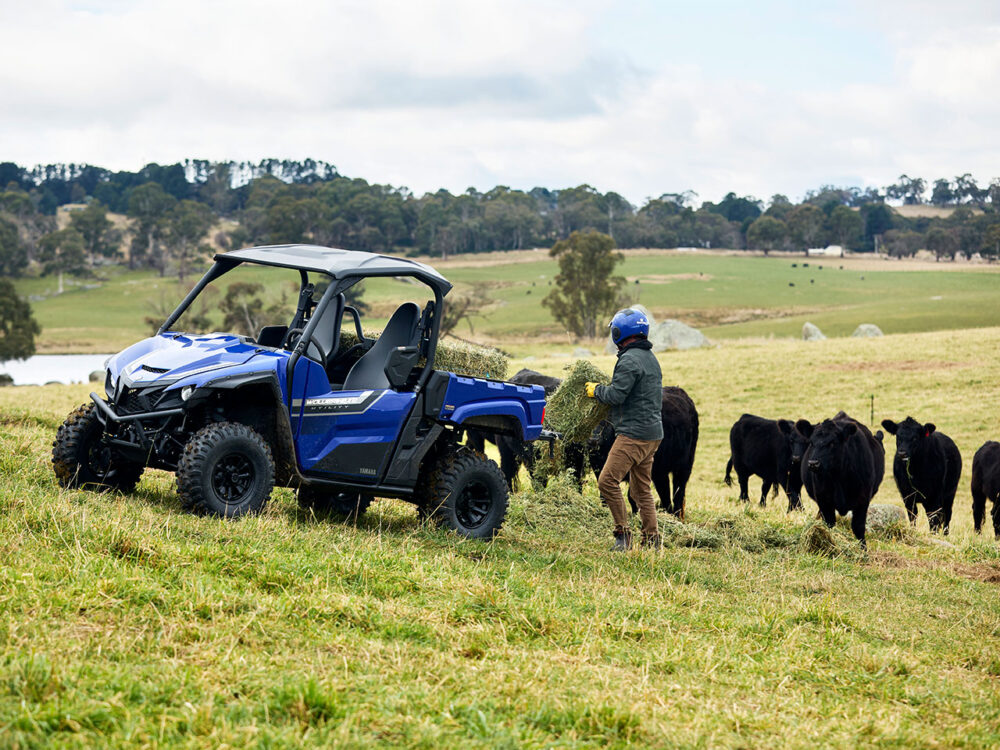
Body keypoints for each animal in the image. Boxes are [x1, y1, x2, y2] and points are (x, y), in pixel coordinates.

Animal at [588, 388, 700, 516]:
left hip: (683, 467)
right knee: (665, 494)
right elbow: (604, 495)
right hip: (660, 472)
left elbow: (631, 496)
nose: (593, 440)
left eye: (608, 421)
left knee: (678, 494)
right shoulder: (599, 468)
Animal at [800, 414, 888, 548]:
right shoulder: (823, 500)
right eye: (811, 442)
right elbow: (829, 524)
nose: (813, 463)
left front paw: (863, 550)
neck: (838, 477)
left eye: (832, 443)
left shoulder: (863, 500)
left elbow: (858, 527)